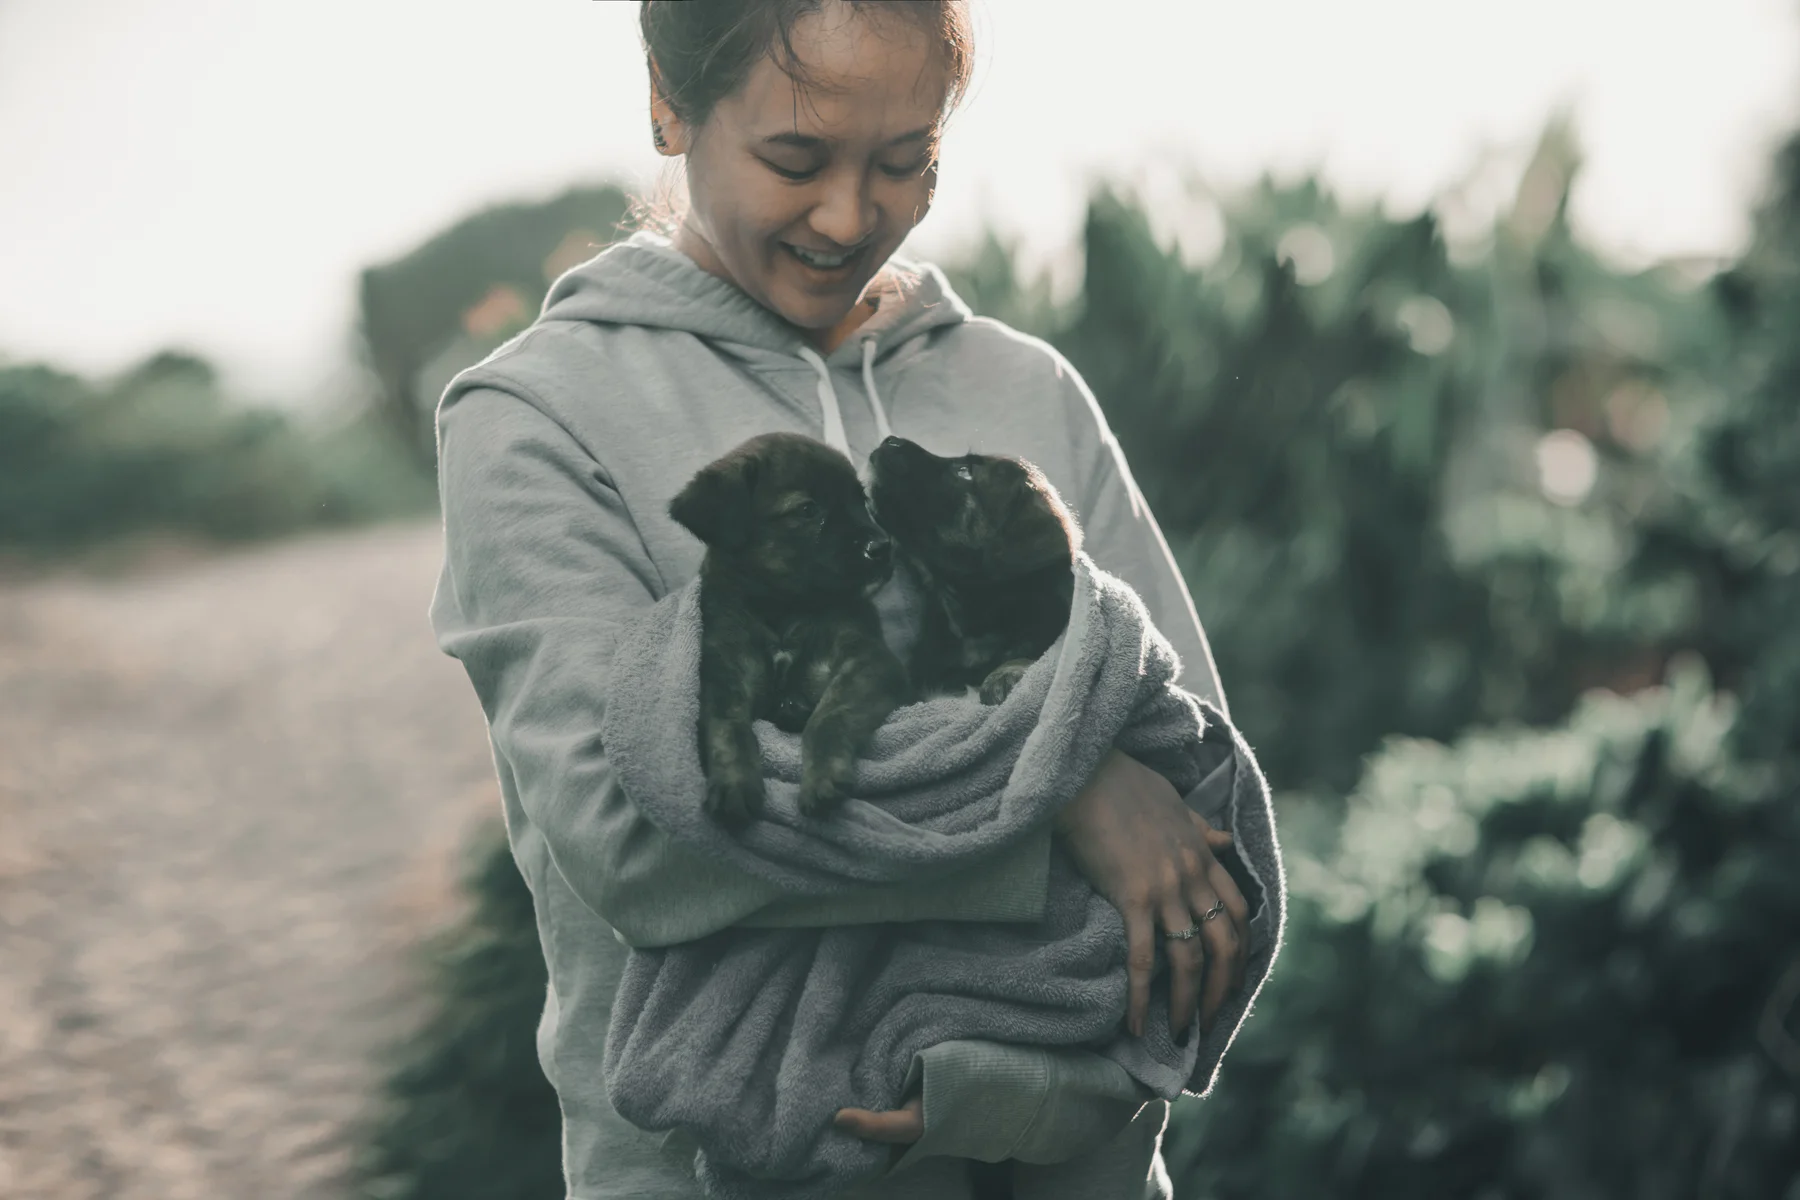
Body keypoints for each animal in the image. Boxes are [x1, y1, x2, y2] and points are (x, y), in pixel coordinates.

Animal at [669, 432, 909, 827]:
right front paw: (733, 781)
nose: (883, 547)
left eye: (861, 500)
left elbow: (829, 716)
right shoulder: (723, 669)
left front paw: (823, 775)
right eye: (808, 510)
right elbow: (727, 726)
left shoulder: (866, 659)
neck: (782, 607)